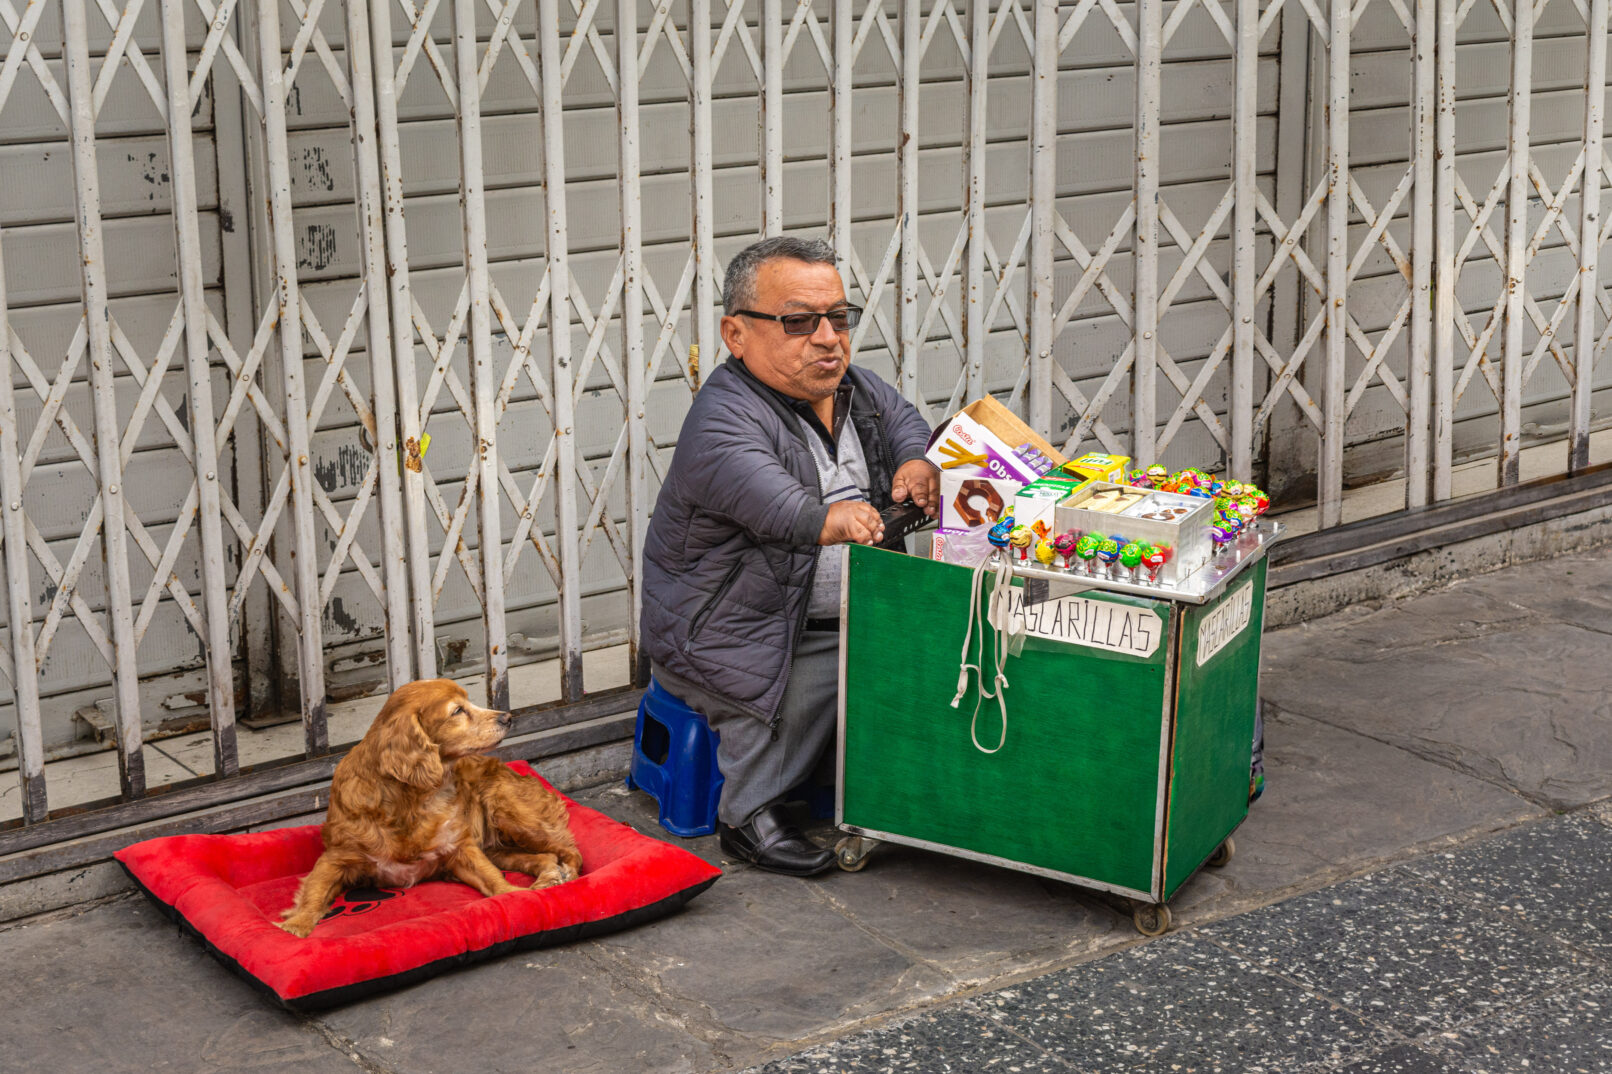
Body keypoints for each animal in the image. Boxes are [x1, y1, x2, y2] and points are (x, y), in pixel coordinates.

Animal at [280, 680, 583, 935]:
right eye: (458, 711)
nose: (507, 717)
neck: (408, 799)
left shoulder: (460, 847)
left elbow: (491, 877)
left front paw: (513, 894)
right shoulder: (336, 857)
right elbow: (314, 893)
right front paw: (295, 926)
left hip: (508, 812)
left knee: (570, 851)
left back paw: (564, 874)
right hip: (500, 846)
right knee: (544, 856)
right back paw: (548, 877)